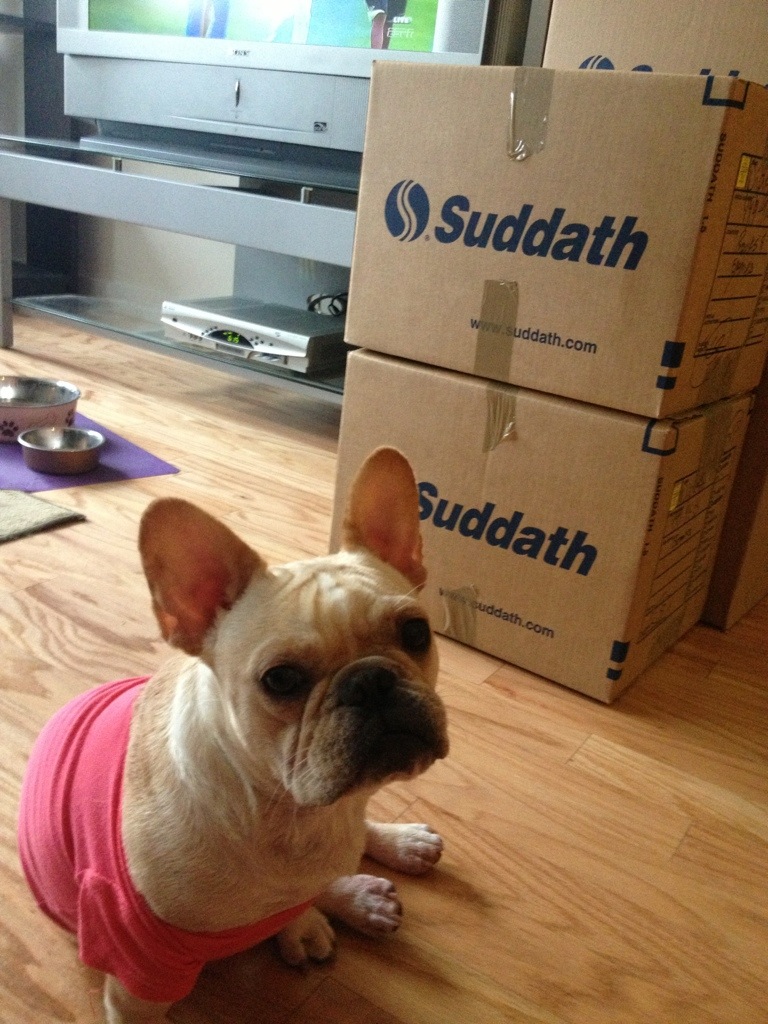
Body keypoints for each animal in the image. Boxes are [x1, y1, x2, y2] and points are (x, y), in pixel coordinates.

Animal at [18, 446, 449, 1023]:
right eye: (281, 679)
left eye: (416, 633)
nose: (371, 679)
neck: (291, 816)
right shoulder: (138, 983)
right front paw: (312, 915)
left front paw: (305, 918)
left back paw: (394, 849)